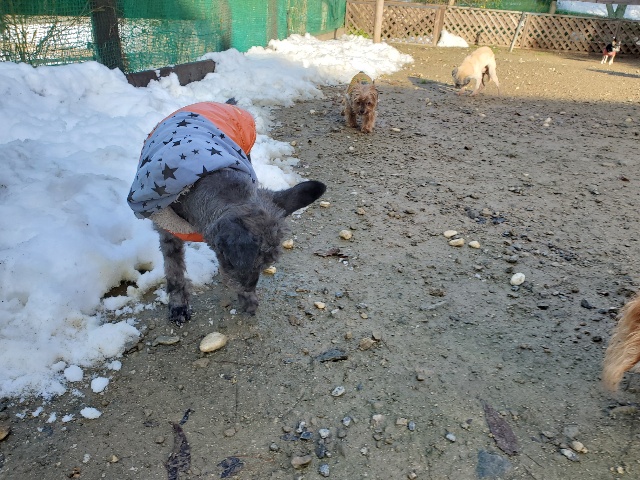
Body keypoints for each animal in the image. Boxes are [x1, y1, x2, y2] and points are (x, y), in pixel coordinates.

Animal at [128, 101, 326, 325]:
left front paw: (248, 298)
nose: (249, 288)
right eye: (230, 259)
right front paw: (178, 304)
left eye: (266, 264)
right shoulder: (168, 232)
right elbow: (174, 271)